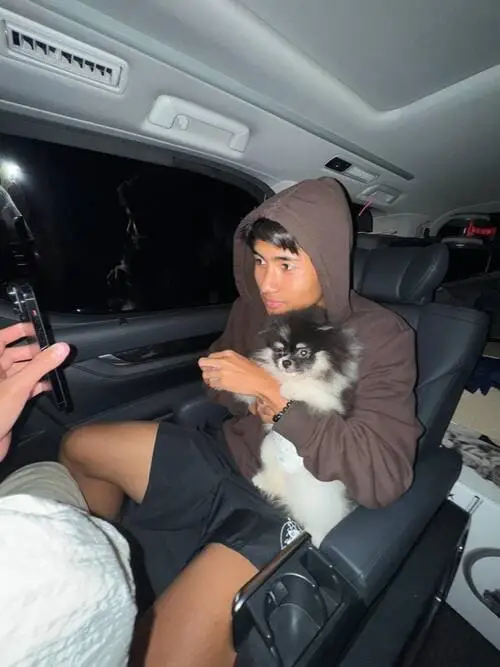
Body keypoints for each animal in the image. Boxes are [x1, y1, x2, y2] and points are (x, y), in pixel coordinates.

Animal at [235, 306, 361, 547]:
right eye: (280, 350)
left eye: (303, 352)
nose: (285, 362)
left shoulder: (328, 401)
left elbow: (309, 389)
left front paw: (290, 389)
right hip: (268, 450)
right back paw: (263, 482)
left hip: (318, 491)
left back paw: (318, 535)